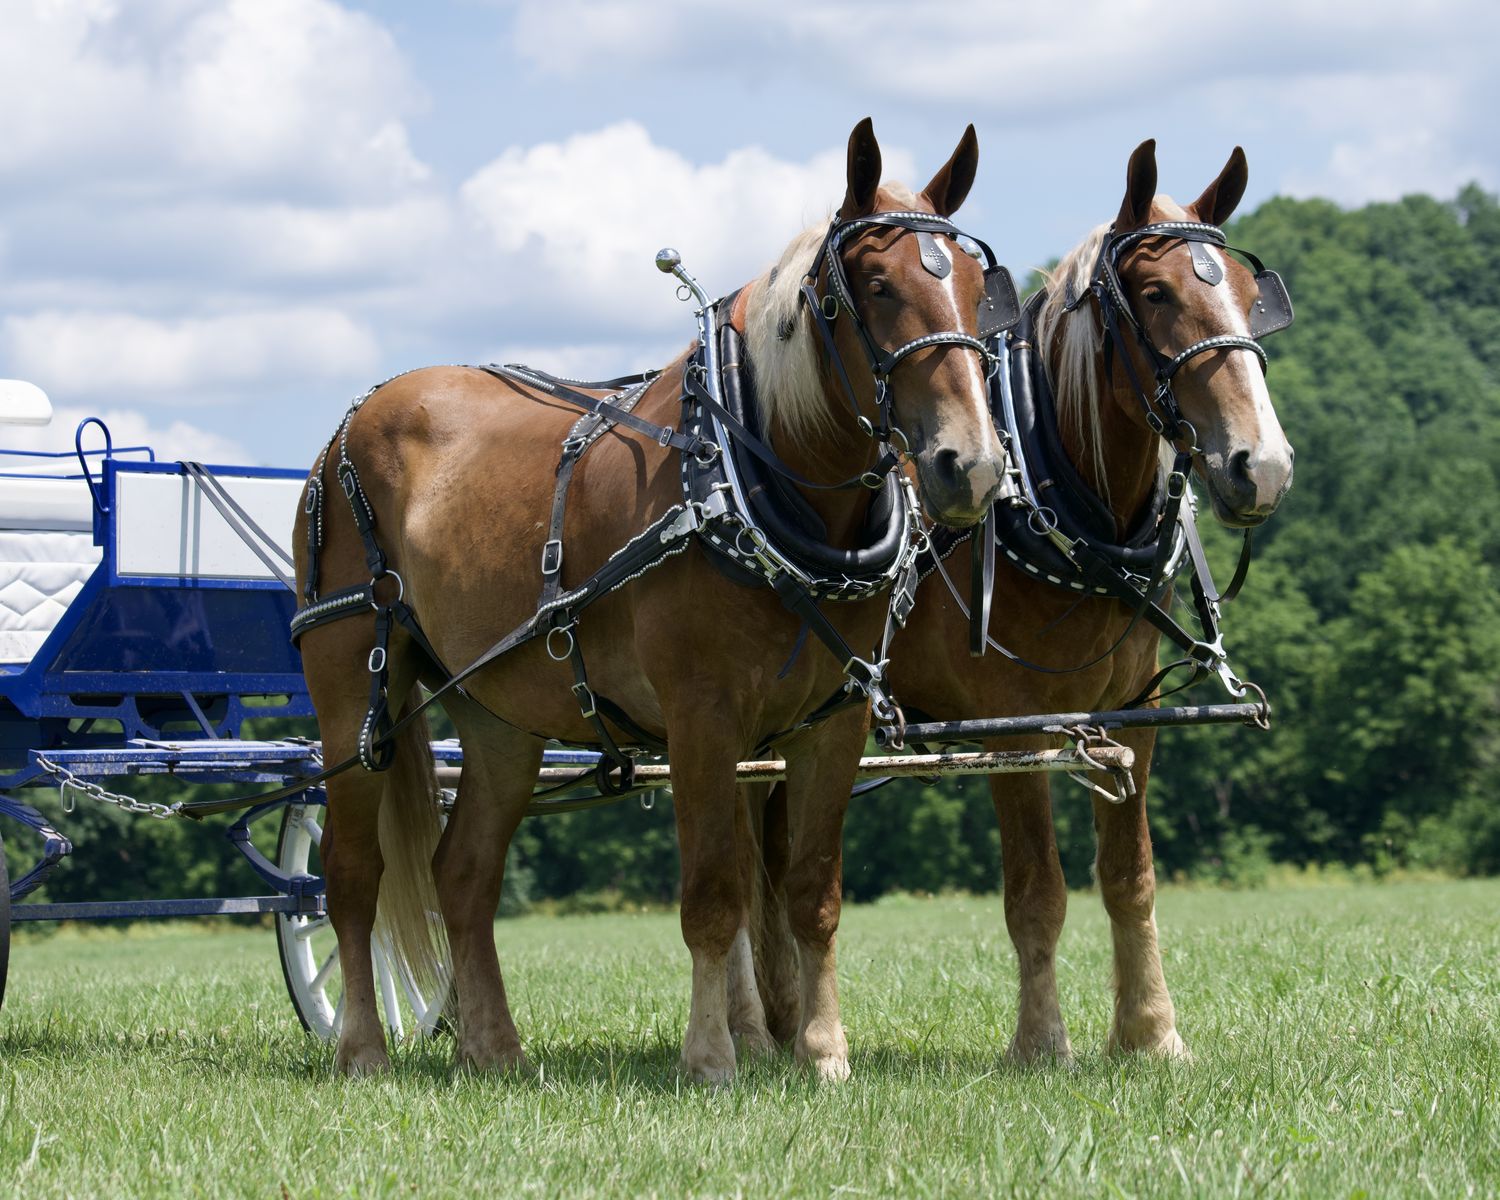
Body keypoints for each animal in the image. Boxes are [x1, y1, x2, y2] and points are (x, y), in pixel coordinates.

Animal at [292, 118, 1011, 1083]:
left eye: (973, 285)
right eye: (873, 285)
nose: (969, 465)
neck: (747, 476)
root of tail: (351, 422)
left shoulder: (836, 718)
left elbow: (812, 894)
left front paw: (824, 1054)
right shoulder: (701, 716)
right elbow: (712, 896)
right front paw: (709, 1058)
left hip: (498, 714)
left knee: (464, 874)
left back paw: (496, 1050)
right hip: (351, 693)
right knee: (351, 874)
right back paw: (364, 1047)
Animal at [741, 140, 1295, 1063]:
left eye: (1255, 299)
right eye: (1155, 294)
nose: (1264, 465)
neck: (1067, 517)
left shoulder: (1132, 719)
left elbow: (1130, 880)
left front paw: (1151, 1034)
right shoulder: (1016, 726)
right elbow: (1038, 889)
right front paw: (1042, 1043)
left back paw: (783, 1025)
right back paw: (755, 1031)